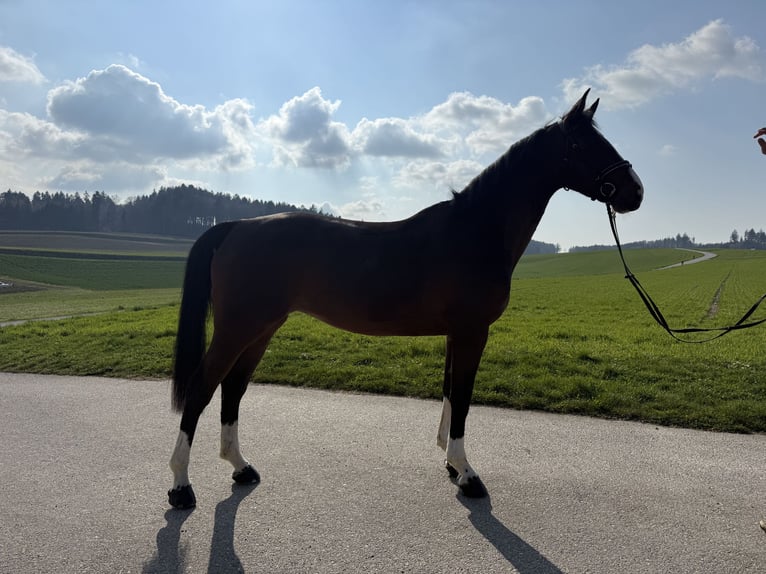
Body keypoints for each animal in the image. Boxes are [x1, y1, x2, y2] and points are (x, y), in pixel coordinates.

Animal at [168, 90, 643, 509]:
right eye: (582, 143)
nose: (635, 191)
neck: (475, 231)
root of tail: (234, 227)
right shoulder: (472, 332)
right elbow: (463, 397)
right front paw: (467, 474)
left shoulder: (457, 333)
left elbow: (450, 391)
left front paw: (451, 464)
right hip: (238, 327)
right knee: (201, 388)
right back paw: (180, 487)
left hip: (263, 327)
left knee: (233, 387)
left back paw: (240, 466)